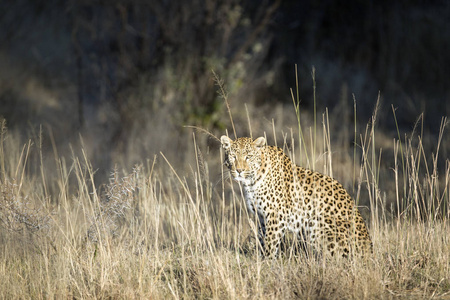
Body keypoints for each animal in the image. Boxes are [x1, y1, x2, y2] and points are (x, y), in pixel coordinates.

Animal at [221, 135, 372, 258]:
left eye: (249, 156)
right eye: (233, 156)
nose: (239, 170)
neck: (251, 181)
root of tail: (369, 252)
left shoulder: (276, 215)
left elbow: (270, 243)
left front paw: (267, 263)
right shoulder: (262, 216)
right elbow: (263, 239)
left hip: (318, 223)